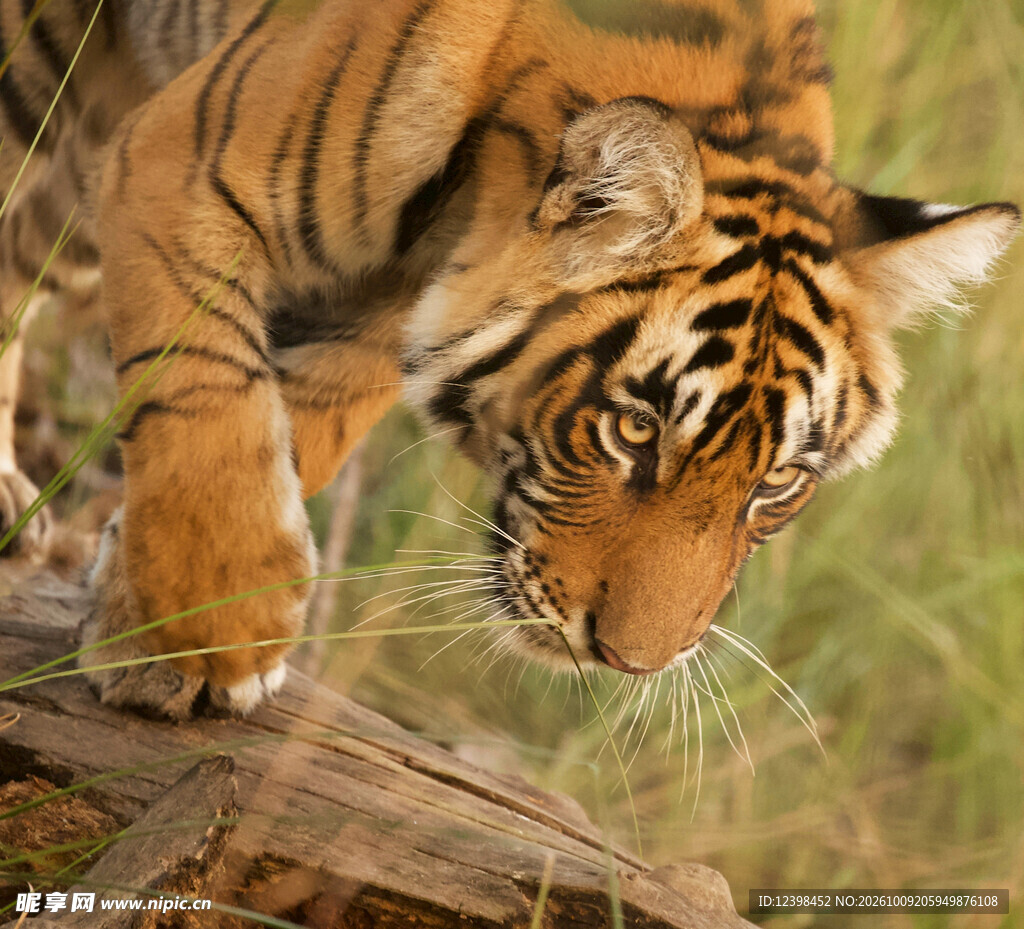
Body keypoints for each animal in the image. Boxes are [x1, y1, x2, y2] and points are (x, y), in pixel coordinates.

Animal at [0, 0, 1017, 718]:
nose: (629, 662)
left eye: (777, 484)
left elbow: (295, 430)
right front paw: (204, 637)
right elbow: (209, 404)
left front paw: (133, 612)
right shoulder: (179, 159)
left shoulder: (381, 320)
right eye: (633, 428)